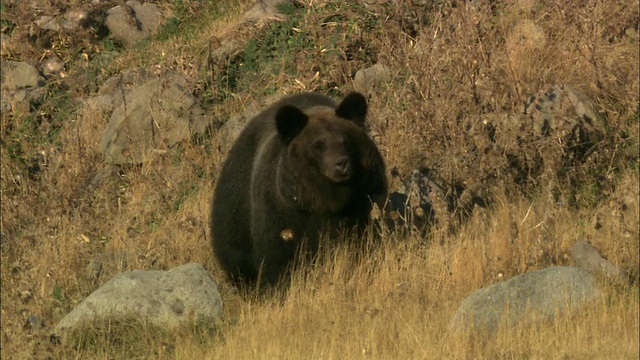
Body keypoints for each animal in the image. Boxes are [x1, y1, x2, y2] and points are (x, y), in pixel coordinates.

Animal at [212, 91, 388, 288]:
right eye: (319, 145)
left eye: (346, 140)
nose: (341, 164)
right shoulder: (283, 213)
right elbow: (277, 258)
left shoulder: (364, 200)